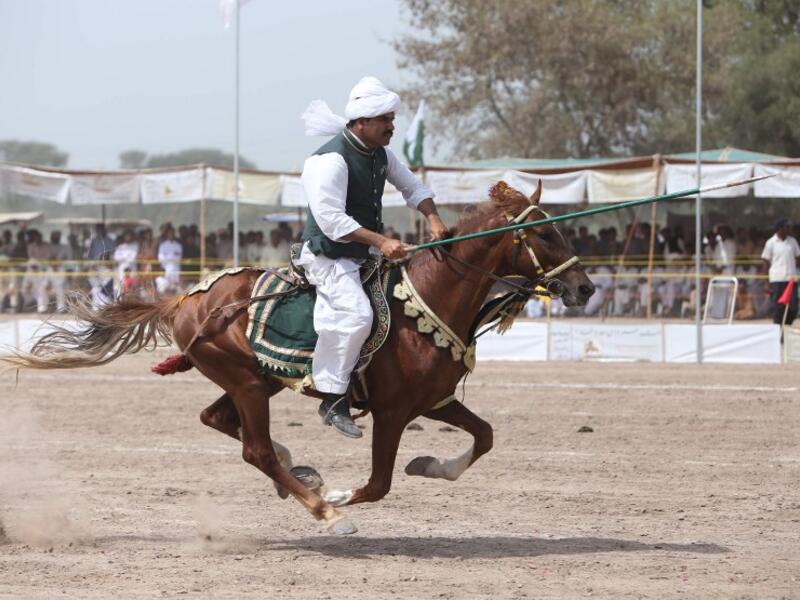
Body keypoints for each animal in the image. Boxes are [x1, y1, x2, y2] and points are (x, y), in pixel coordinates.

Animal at [1, 180, 594, 535]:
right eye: (545, 232)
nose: (585, 288)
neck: (424, 301)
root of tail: (186, 299)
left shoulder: (435, 400)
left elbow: (485, 436)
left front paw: (430, 465)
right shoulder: (393, 411)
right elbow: (377, 484)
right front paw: (339, 498)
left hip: (256, 381)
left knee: (218, 421)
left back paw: (299, 471)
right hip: (245, 382)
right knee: (254, 450)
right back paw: (320, 504)